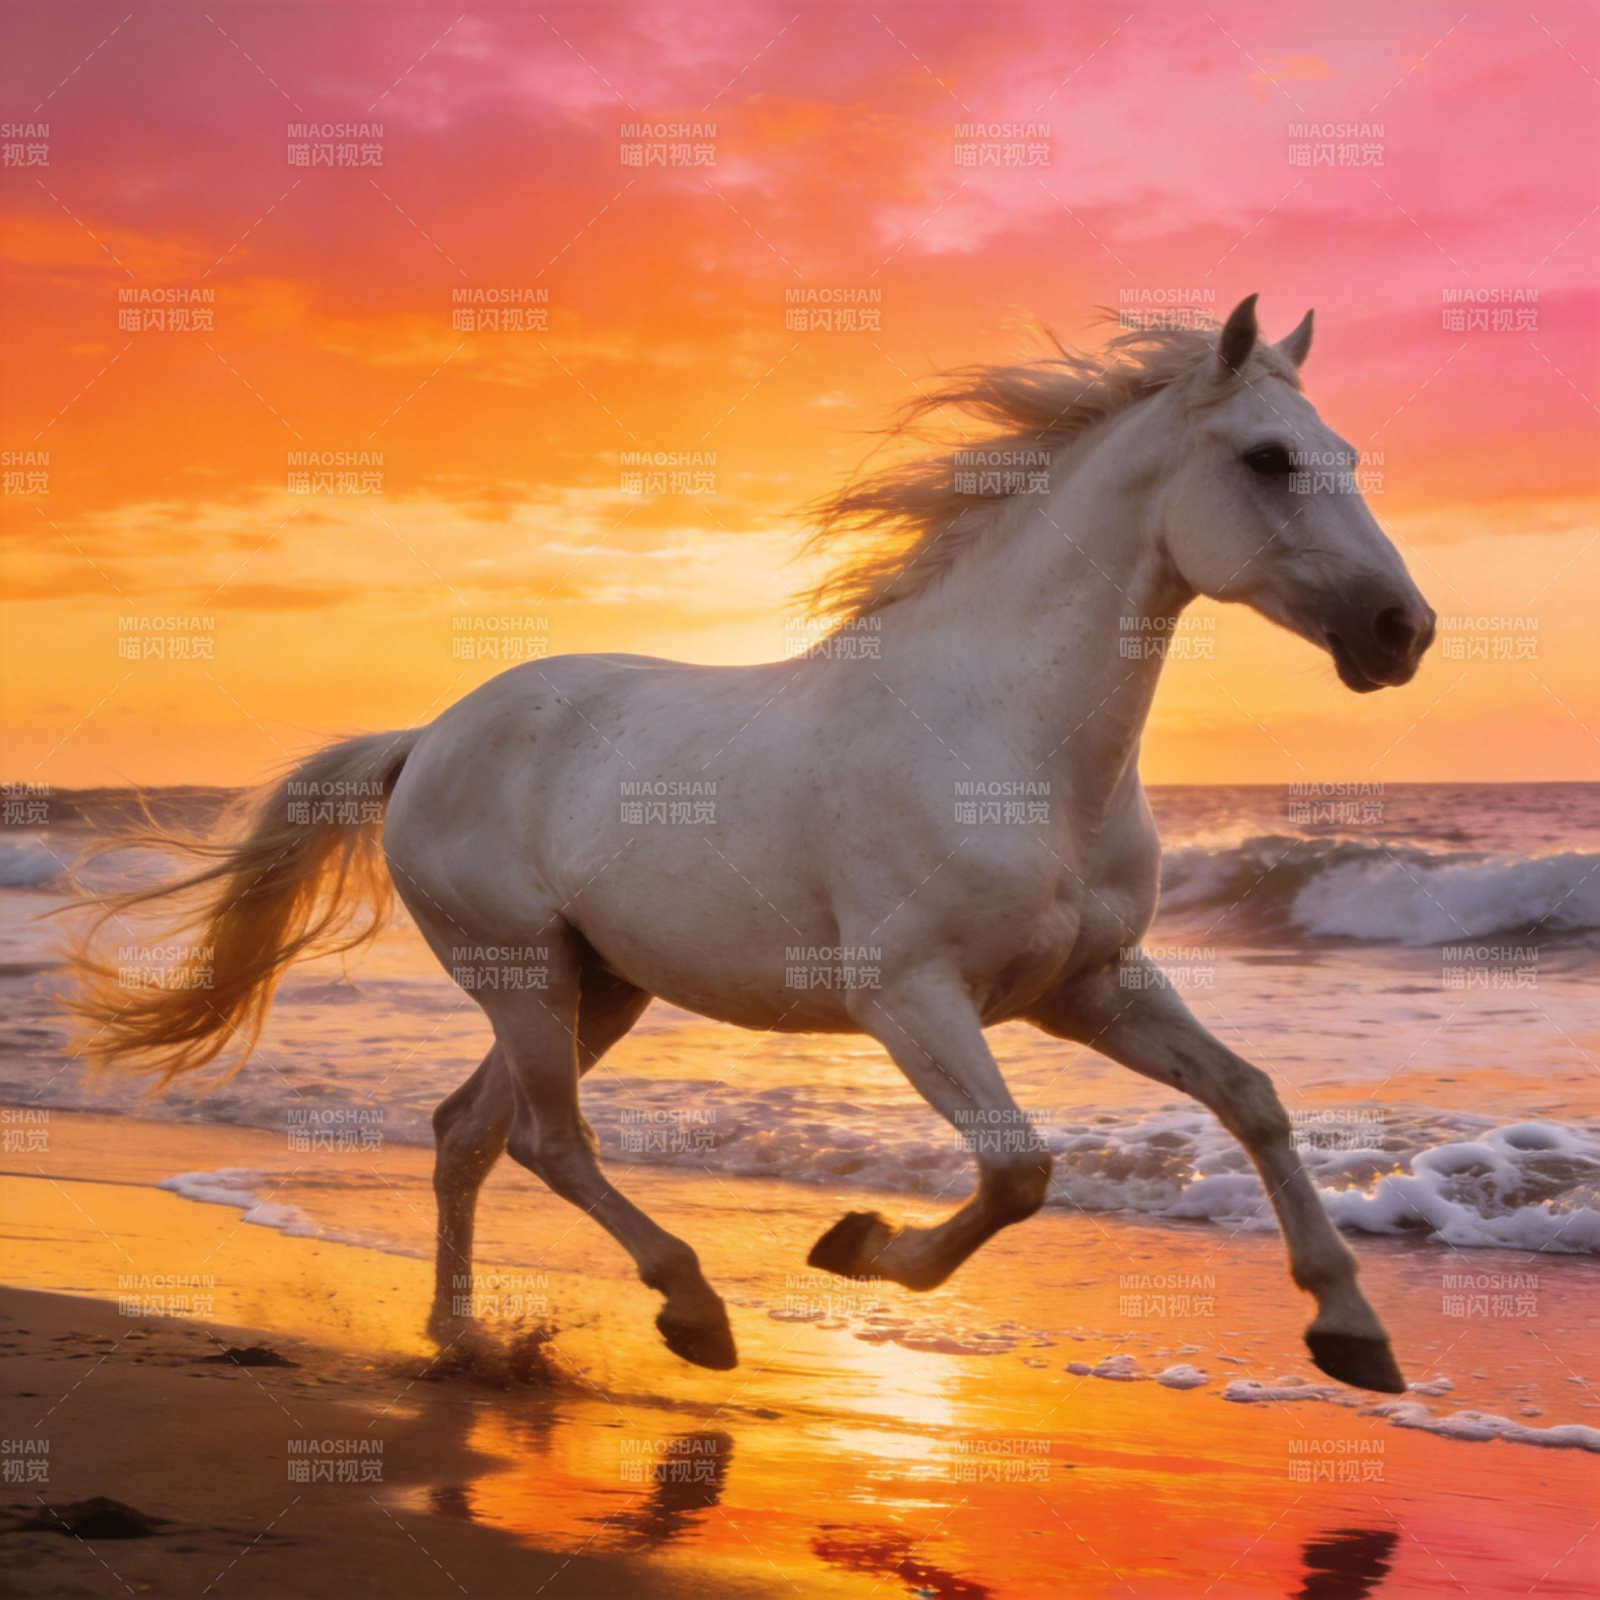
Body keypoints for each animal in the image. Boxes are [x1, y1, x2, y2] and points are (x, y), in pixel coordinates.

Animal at [69, 295, 1433, 1392]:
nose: (1402, 630)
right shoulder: (910, 999)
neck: (1011, 744)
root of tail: (431, 737)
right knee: (545, 1139)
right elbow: (1018, 1172)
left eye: (1349, 455)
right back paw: (690, 1309)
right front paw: (857, 1245)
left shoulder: (1088, 986)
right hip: (524, 973)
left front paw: (1353, 1333)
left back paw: (465, 1340)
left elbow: (1251, 1101)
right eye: (1267, 457)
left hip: (596, 986)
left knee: (465, 1134)